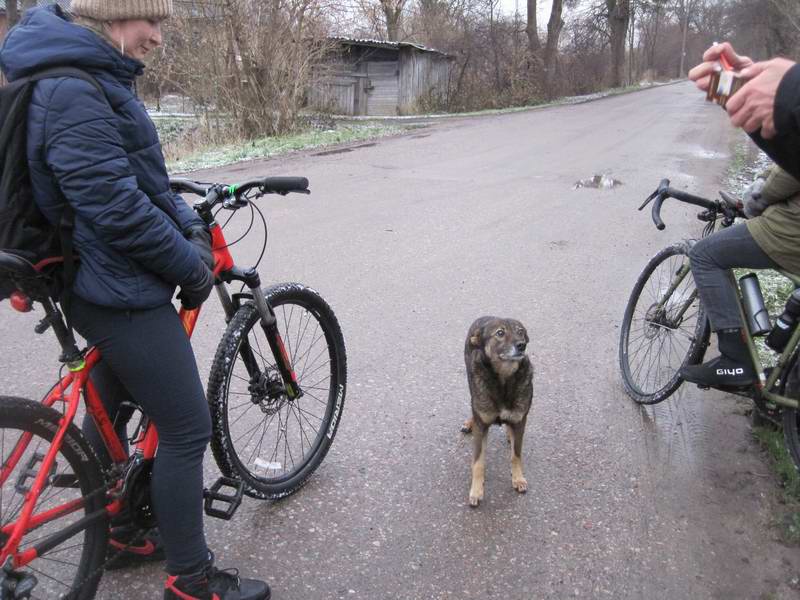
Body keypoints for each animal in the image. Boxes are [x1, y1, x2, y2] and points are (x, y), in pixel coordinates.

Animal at [462, 314, 532, 506]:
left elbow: (516, 455)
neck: (504, 380)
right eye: (500, 333)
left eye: (520, 331)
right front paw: (476, 490)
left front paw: (518, 478)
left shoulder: (520, 421)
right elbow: (478, 462)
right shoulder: (481, 426)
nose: (521, 345)